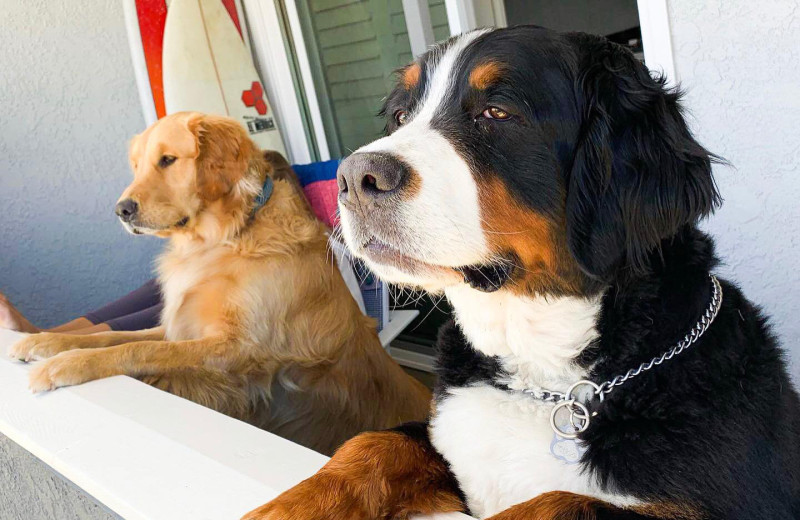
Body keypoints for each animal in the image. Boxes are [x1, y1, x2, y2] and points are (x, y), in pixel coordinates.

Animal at [244, 25, 800, 520]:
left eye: (497, 112)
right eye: (401, 115)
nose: (355, 177)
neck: (543, 377)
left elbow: (561, 503)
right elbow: (375, 442)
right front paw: (285, 507)